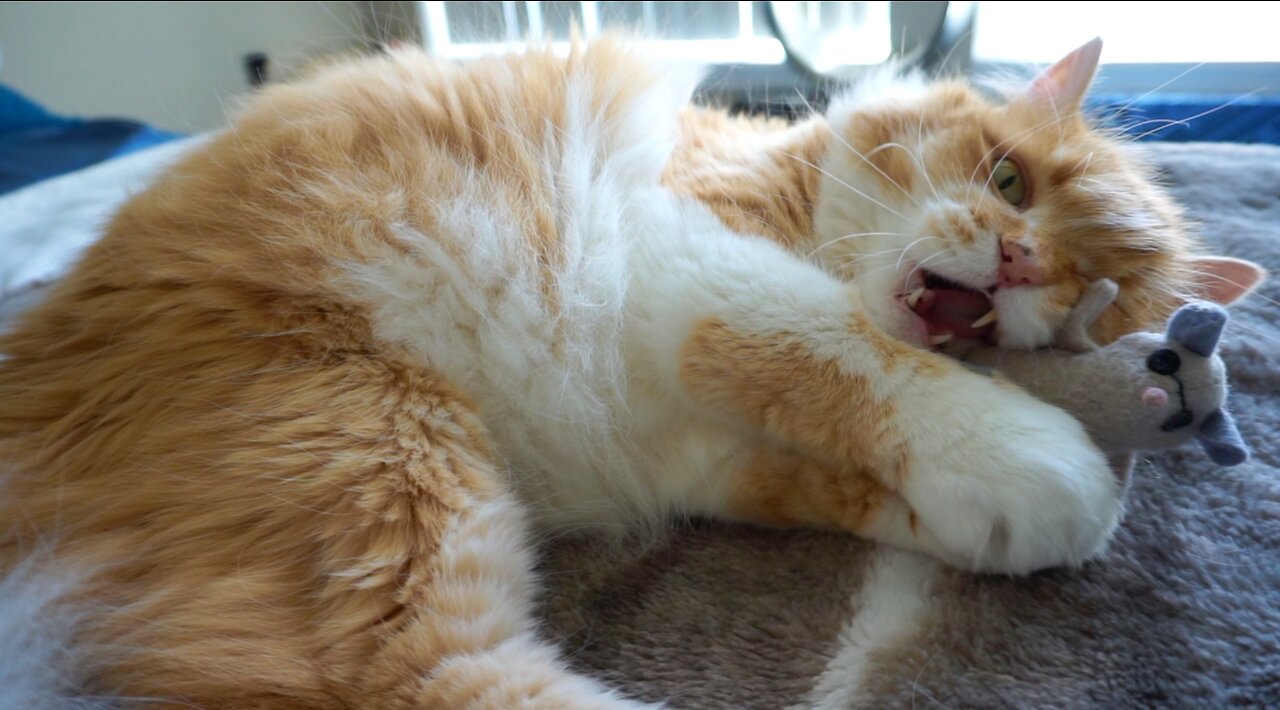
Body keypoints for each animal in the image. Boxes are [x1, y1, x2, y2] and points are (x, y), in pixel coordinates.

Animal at [0, 34, 1264, 710]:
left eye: (1092, 289)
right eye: (1009, 183)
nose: (1017, 262)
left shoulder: (704, 455)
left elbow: (864, 469)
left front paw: (1008, 514)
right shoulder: (685, 251)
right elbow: (845, 352)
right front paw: (1042, 457)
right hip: (369, 454)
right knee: (424, 677)